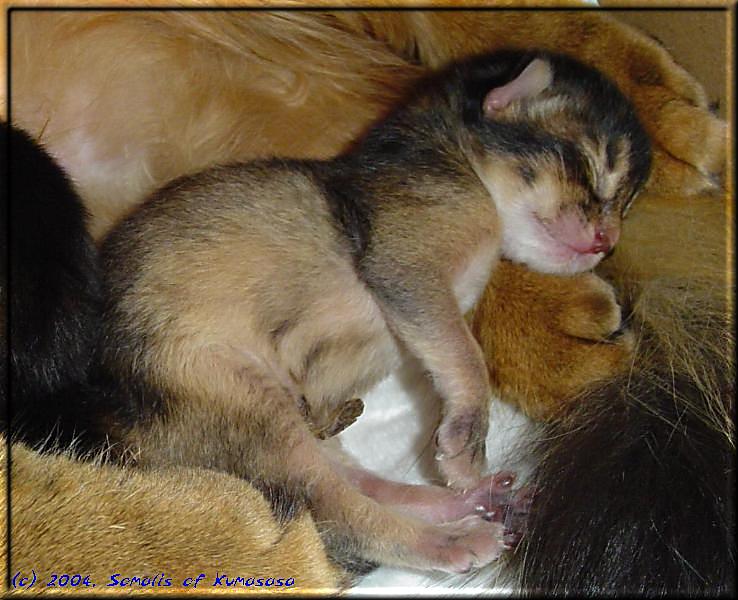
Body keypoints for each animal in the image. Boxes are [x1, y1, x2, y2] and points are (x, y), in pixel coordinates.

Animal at [96, 50, 648, 572]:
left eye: (628, 203)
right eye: (592, 166)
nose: (608, 242)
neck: (456, 157)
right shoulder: (408, 268)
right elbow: (467, 359)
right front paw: (465, 444)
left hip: (286, 419)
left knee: (361, 483)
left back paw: (473, 501)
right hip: (242, 404)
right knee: (335, 512)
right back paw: (452, 538)